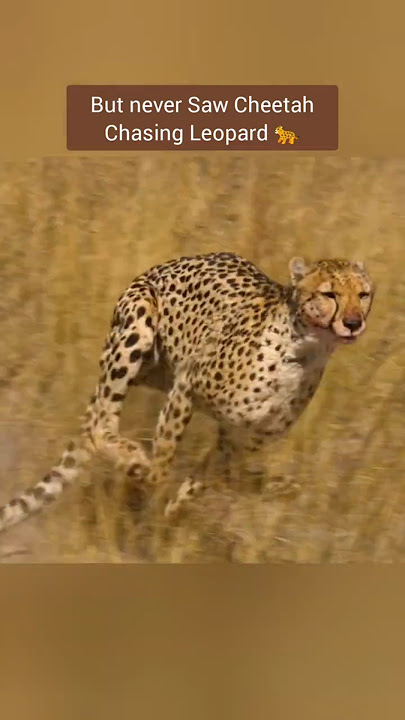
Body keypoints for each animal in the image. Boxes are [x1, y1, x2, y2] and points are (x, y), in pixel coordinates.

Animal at [0, 251, 374, 533]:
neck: (305, 350)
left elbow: (201, 482)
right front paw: (145, 481)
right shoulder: (186, 386)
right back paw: (130, 456)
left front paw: (172, 513)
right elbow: (164, 457)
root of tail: (167, 263)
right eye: (329, 294)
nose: (354, 323)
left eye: (363, 294)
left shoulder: (236, 441)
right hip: (138, 328)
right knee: (98, 423)